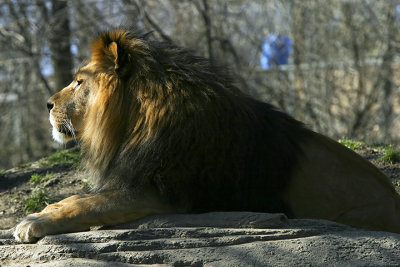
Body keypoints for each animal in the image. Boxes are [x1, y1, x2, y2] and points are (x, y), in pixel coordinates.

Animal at [13, 28, 400, 243]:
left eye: (80, 82)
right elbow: (77, 198)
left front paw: (33, 222)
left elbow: (84, 203)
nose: (47, 104)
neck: (132, 120)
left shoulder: (157, 193)